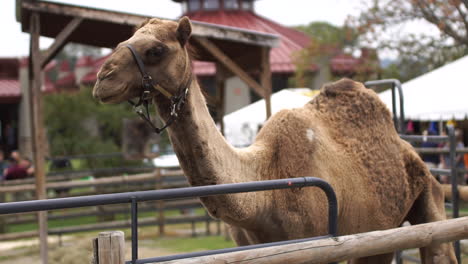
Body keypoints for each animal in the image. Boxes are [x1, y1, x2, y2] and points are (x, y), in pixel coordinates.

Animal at [92, 17, 458, 264]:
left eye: (156, 49)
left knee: (439, 245)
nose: (102, 79)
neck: (264, 189)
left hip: (429, 196)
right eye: (127, 38)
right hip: (379, 228)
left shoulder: (317, 245)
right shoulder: (248, 248)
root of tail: (411, 151)